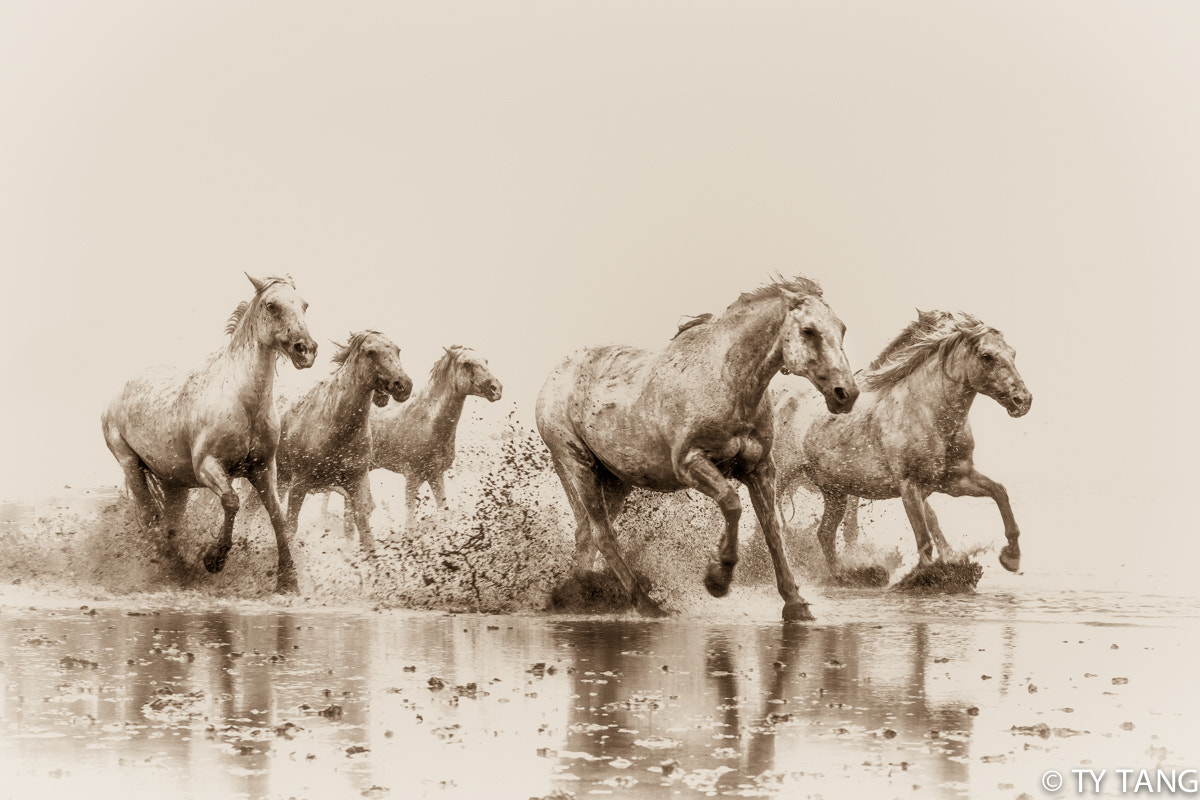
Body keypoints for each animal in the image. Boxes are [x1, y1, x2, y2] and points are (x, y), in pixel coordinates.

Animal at [102, 272, 316, 592]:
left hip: (173, 483)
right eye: (271, 305)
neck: (243, 402)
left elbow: (277, 516)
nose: (306, 349)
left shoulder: (264, 468)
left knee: (170, 521)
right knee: (150, 517)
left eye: (304, 304)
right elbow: (231, 502)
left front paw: (287, 580)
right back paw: (174, 566)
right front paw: (213, 559)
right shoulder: (208, 467)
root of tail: (114, 398)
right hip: (130, 464)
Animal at [276, 331, 412, 551]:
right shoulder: (299, 484)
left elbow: (364, 531)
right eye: (371, 352)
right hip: (280, 478)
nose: (403, 385)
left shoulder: (356, 482)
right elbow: (290, 527)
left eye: (397, 350)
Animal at [362, 343, 499, 525]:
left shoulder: (436, 476)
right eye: (467, 364)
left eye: (486, 361)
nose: (496, 389)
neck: (427, 424)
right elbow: (410, 522)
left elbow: (444, 512)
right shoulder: (412, 479)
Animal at [537, 273, 864, 618]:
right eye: (808, 330)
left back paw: (577, 595)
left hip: (615, 479)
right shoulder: (690, 463)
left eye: (841, 328)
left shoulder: (760, 469)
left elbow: (773, 530)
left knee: (586, 534)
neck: (727, 381)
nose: (846, 394)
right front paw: (718, 578)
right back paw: (646, 603)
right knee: (602, 535)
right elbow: (732, 504)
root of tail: (555, 375)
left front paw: (796, 604)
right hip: (579, 464)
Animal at [796, 309, 1032, 578]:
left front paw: (1011, 557)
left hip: (835, 492)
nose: (1023, 400)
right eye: (987, 356)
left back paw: (841, 576)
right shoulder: (909, 485)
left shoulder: (954, 479)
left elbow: (999, 492)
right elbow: (924, 537)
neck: (929, 415)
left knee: (825, 533)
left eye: (1013, 353)